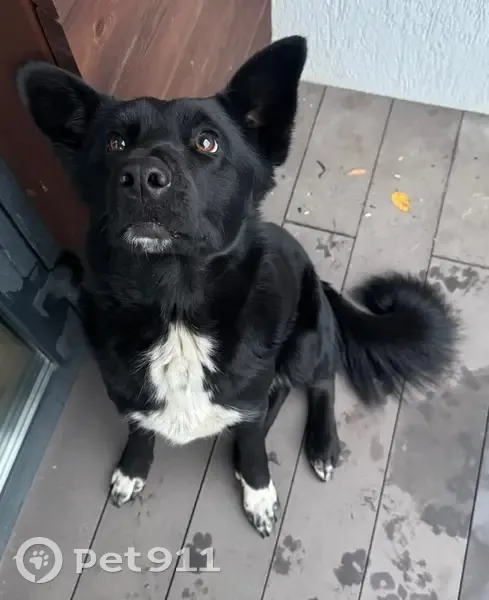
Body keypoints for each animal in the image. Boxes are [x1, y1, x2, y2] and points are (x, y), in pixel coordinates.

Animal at [17, 36, 459, 537]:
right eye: (115, 143)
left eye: (207, 142)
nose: (141, 178)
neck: (176, 310)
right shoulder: (129, 399)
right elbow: (141, 431)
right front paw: (132, 469)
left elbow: (253, 448)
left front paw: (258, 490)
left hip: (306, 339)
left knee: (320, 378)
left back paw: (321, 442)